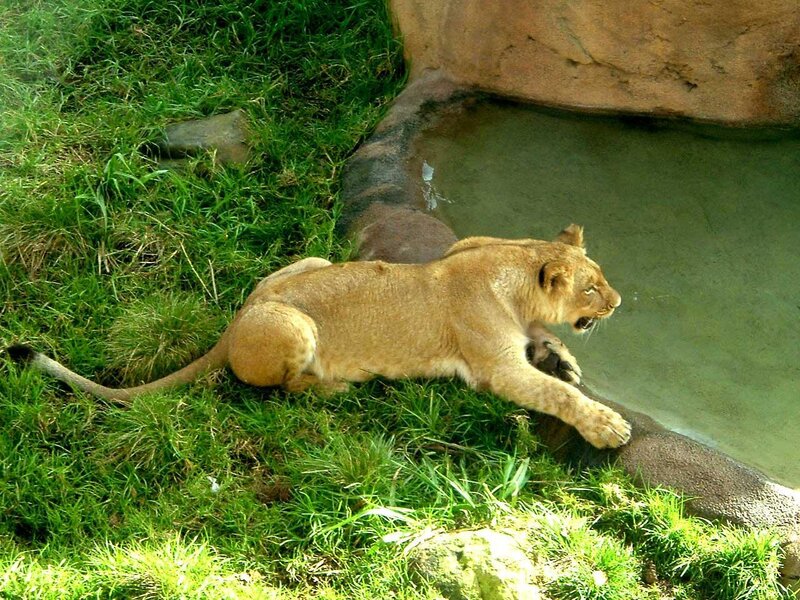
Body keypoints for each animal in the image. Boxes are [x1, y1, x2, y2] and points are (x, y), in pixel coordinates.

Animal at [6, 224, 630, 449]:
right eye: (592, 289)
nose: (620, 303)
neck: (515, 266)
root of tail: (235, 322)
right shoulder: (494, 368)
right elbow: (557, 395)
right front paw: (607, 425)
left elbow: (550, 355)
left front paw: (563, 357)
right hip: (292, 325)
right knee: (281, 391)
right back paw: (337, 389)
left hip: (310, 261)